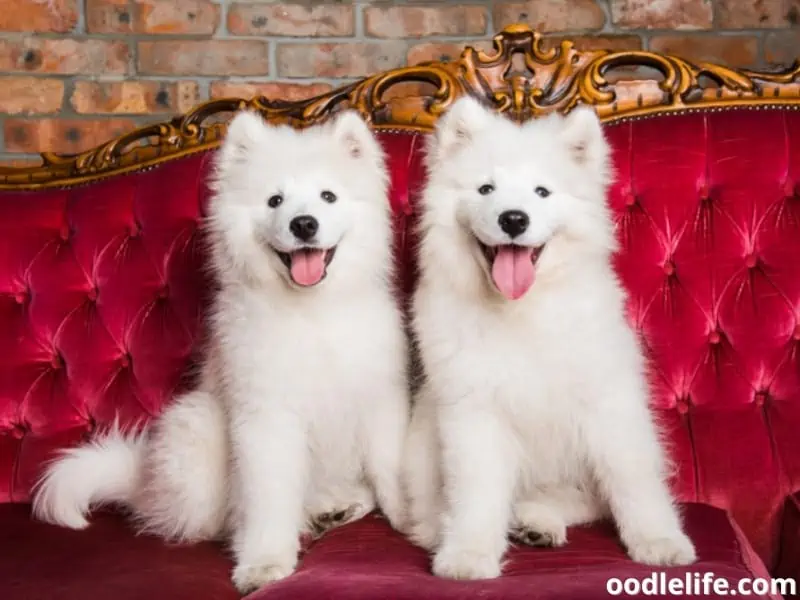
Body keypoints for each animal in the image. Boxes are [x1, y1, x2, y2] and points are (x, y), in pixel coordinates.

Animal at [32, 110, 410, 592]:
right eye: (274, 201)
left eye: (328, 196)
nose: (303, 224)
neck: (311, 313)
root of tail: (144, 483)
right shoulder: (266, 418)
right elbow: (268, 496)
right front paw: (264, 563)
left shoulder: (379, 400)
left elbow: (391, 469)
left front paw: (415, 521)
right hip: (198, 422)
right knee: (212, 519)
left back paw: (337, 508)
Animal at [404, 96, 696, 580]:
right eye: (486, 189)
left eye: (542, 192)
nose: (513, 219)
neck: (522, 310)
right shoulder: (472, 409)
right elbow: (476, 490)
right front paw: (468, 553)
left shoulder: (609, 401)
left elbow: (632, 477)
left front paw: (659, 540)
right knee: (432, 509)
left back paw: (536, 522)